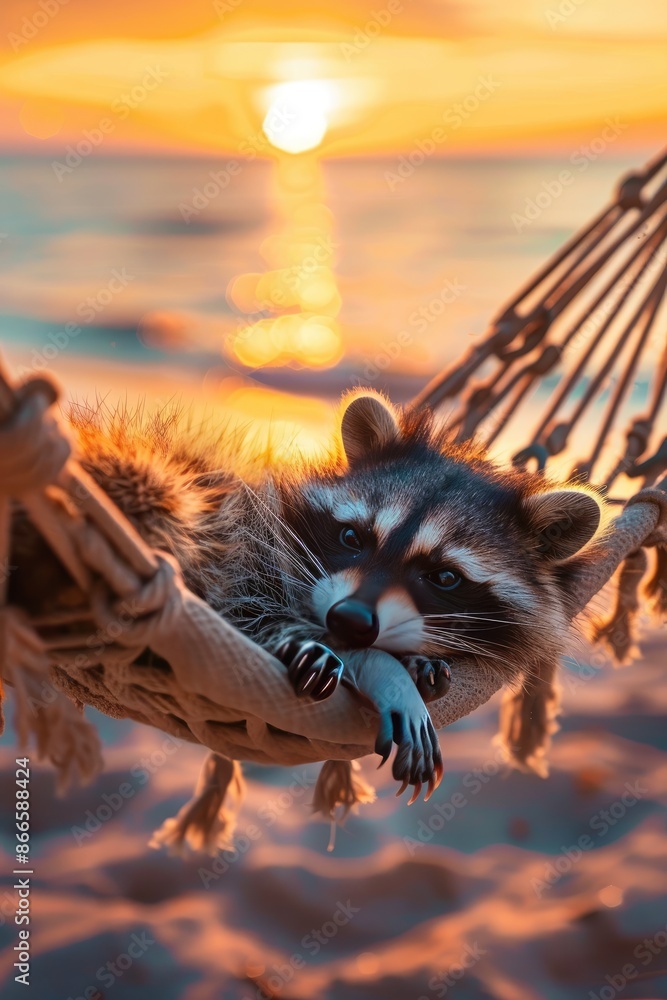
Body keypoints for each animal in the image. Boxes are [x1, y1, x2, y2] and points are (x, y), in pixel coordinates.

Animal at [9, 389, 604, 797]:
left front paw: (410, 661)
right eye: (353, 536)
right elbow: (244, 600)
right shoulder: (244, 532)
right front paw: (367, 663)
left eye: (444, 577)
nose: (351, 620)